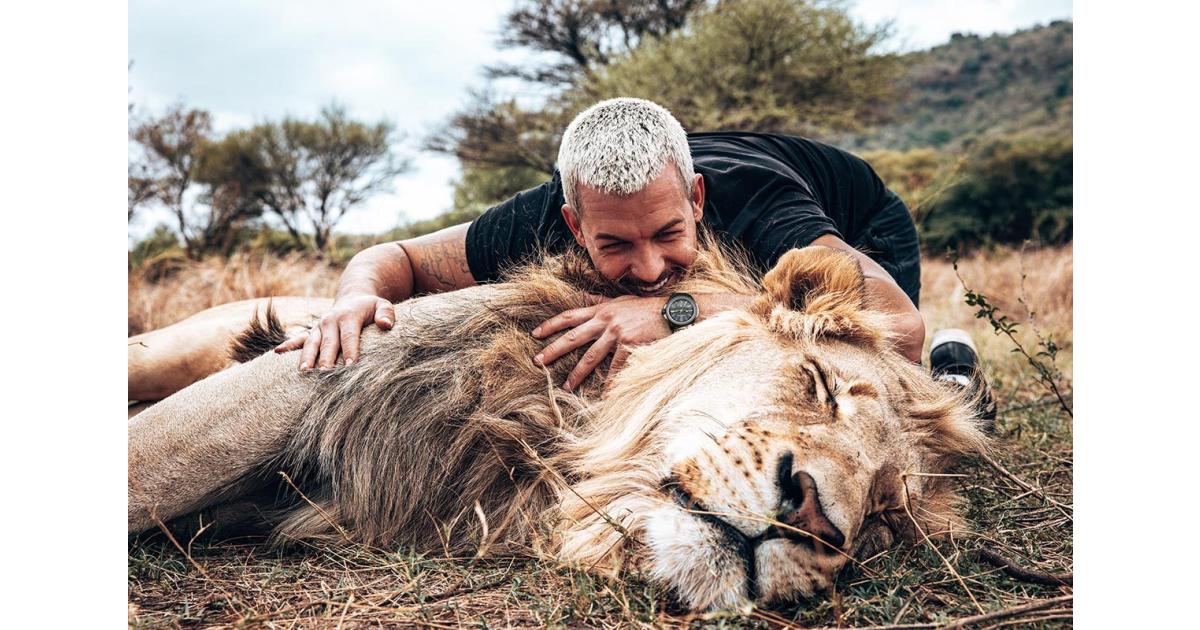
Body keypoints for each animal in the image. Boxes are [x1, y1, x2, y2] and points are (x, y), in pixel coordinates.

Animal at [128, 243, 986, 611]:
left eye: (884, 517)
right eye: (820, 387)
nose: (811, 517)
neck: (551, 434)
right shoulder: (309, 377)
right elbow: (145, 468)